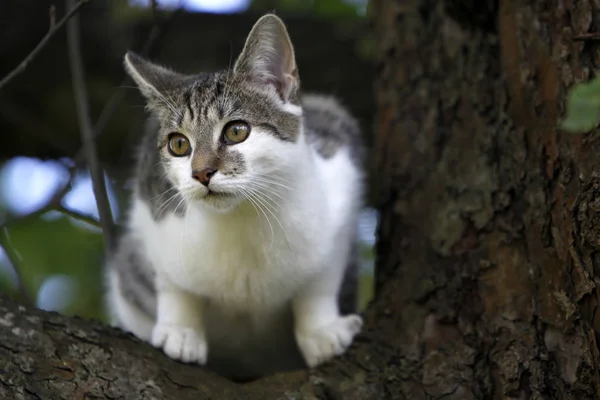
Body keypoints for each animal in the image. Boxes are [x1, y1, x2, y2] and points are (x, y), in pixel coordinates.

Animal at [105, 13, 364, 382]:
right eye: (179, 144)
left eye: (236, 131)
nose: (201, 173)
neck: (241, 220)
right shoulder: (150, 200)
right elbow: (172, 281)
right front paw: (180, 329)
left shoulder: (341, 175)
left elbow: (320, 280)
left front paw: (321, 330)